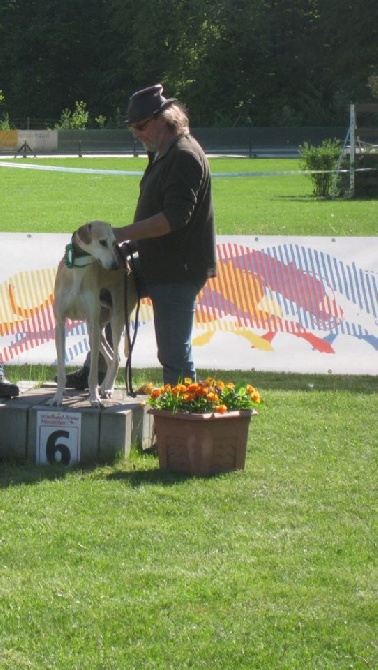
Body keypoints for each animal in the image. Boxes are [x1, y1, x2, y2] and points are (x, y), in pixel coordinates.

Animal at [46, 223, 137, 406]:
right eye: (102, 242)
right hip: (95, 326)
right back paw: (104, 387)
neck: (77, 271)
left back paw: (107, 389)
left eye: (114, 242)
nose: (116, 266)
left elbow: (93, 371)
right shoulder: (60, 324)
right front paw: (57, 397)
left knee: (116, 357)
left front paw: (94, 398)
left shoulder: (93, 323)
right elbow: (61, 366)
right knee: (111, 358)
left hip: (115, 319)